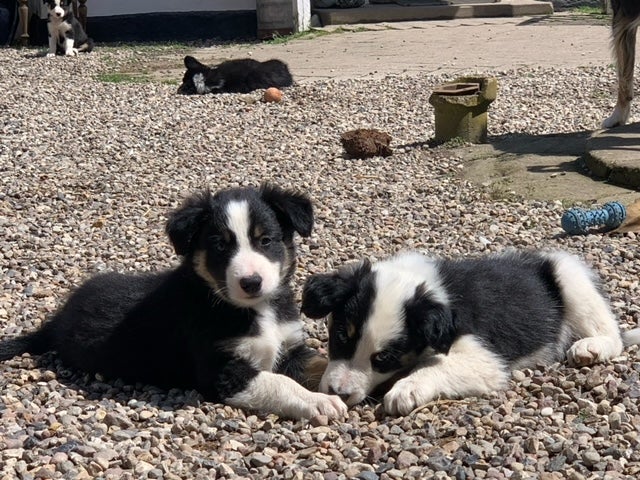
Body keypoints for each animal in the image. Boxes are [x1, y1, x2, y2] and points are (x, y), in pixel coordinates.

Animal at [0, 186, 348, 418]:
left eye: (266, 240)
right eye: (220, 245)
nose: (251, 282)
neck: (255, 309)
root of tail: (56, 320)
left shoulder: (290, 347)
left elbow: (320, 363)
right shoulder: (221, 371)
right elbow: (278, 382)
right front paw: (319, 402)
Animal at [302, 249, 640, 414]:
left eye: (384, 358)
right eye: (342, 335)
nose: (338, 393)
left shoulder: (486, 358)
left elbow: (436, 366)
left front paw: (406, 389)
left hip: (570, 277)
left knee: (612, 332)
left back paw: (591, 348)